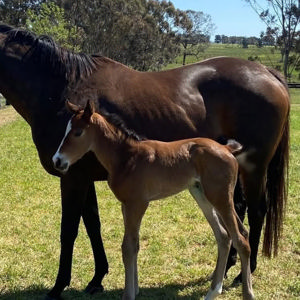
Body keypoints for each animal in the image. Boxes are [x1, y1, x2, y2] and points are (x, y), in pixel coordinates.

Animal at [52, 101, 254, 300]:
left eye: (78, 132)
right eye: (66, 130)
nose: (57, 161)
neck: (126, 158)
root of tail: (227, 149)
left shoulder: (137, 204)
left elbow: (127, 247)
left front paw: (128, 295)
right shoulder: (126, 205)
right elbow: (134, 245)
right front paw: (134, 289)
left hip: (220, 197)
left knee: (240, 239)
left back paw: (247, 293)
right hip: (202, 194)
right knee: (224, 236)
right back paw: (212, 292)